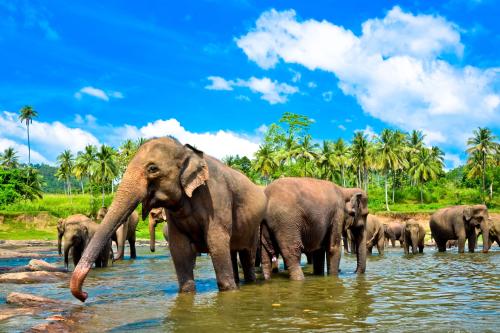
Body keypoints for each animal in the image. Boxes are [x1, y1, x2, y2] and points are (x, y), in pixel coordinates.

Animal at [69, 137, 270, 300]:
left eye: (152, 168)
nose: (84, 295)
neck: (186, 151)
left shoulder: (217, 199)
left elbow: (216, 242)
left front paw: (229, 290)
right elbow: (179, 248)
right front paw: (187, 292)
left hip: (253, 226)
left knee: (246, 253)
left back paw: (249, 282)